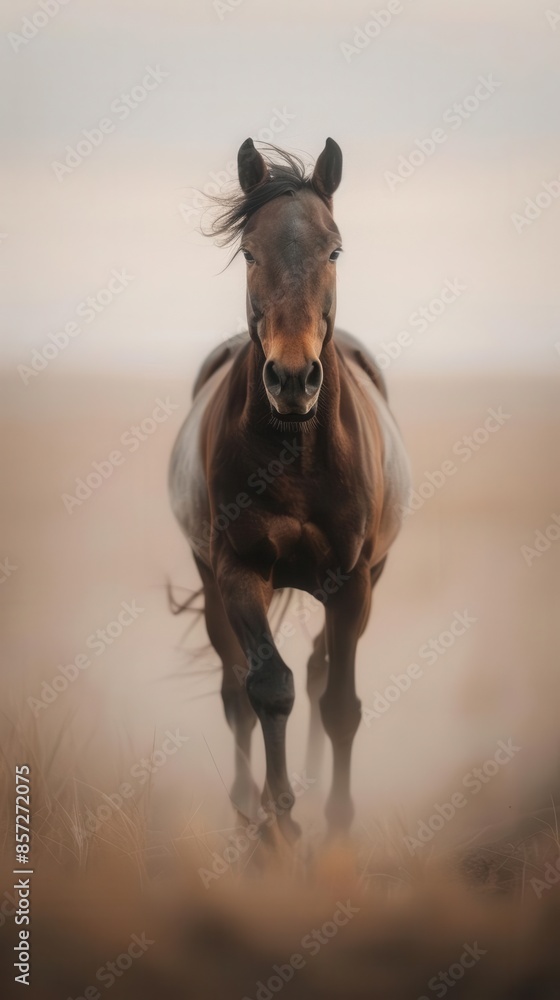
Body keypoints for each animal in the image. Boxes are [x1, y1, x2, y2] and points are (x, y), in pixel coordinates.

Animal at [169, 138, 410, 840]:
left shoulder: (352, 582)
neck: (295, 455)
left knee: (321, 670)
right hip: (208, 577)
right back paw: (245, 806)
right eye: (250, 251)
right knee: (237, 687)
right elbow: (268, 689)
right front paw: (278, 824)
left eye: (335, 250)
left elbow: (338, 704)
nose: (295, 378)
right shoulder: (238, 570)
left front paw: (337, 825)